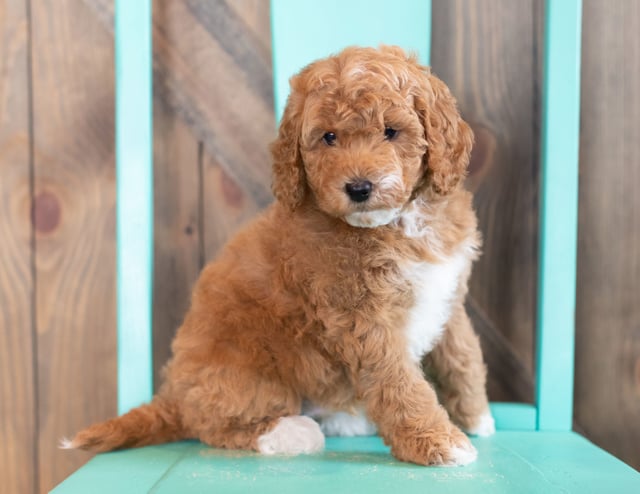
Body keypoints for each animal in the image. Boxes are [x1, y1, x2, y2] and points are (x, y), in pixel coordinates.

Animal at [65, 44, 496, 466]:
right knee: (216, 425)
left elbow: (461, 354)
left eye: (391, 131)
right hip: (243, 372)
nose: (359, 188)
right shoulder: (363, 320)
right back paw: (292, 432)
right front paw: (438, 442)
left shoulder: (448, 290)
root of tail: (172, 394)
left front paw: (476, 416)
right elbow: (400, 384)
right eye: (329, 137)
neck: (398, 222)